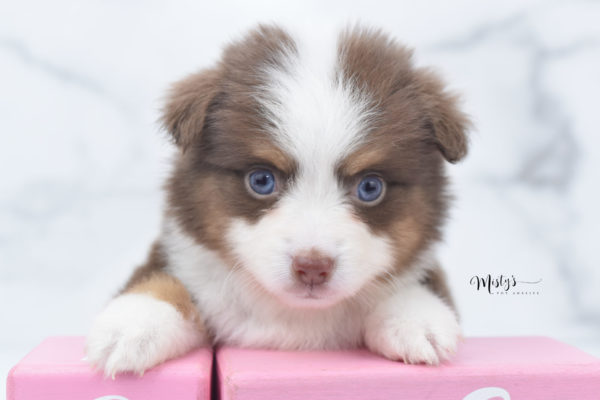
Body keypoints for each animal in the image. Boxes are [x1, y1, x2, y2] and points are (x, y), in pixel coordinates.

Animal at [85, 23, 468, 376]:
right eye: (262, 180)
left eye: (370, 187)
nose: (312, 268)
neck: (295, 315)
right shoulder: (182, 258)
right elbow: (160, 282)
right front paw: (131, 325)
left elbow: (417, 288)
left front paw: (417, 320)